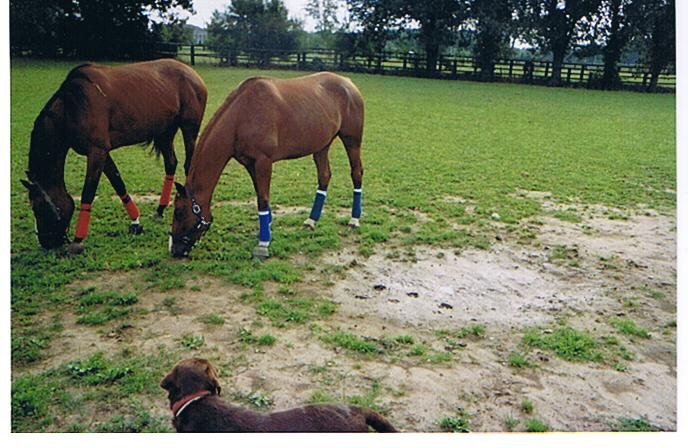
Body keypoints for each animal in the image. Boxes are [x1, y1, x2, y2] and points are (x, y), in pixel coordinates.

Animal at [22, 60, 208, 254]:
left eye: (39, 208)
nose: (45, 242)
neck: (71, 107)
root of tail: (191, 73)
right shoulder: (102, 153)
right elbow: (118, 183)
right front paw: (135, 222)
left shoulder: (96, 152)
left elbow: (88, 193)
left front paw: (78, 240)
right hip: (165, 133)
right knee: (171, 164)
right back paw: (160, 210)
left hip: (189, 130)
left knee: (188, 165)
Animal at [171, 71, 366, 260]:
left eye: (179, 212)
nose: (174, 249)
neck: (241, 115)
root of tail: (348, 83)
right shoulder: (250, 164)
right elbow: (260, 194)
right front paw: (267, 227)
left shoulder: (263, 161)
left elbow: (263, 199)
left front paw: (263, 244)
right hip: (321, 147)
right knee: (324, 176)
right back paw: (311, 220)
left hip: (352, 141)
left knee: (356, 173)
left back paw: (354, 220)